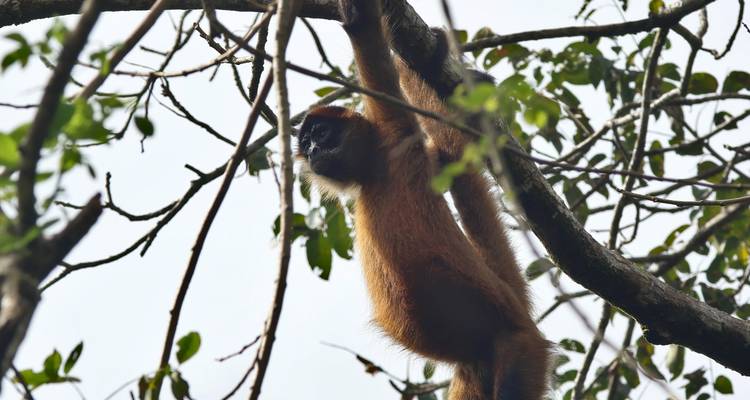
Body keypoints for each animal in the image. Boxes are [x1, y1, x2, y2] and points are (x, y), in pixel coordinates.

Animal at [296, 1, 549, 398]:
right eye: (306, 144)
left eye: (321, 135)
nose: (314, 151)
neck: (374, 170)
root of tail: (520, 317)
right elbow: (451, 151)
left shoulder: (395, 129)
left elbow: (363, 28)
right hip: (478, 368)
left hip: (521, 347)